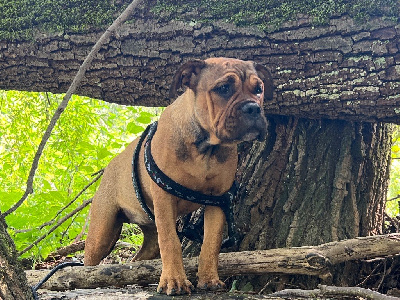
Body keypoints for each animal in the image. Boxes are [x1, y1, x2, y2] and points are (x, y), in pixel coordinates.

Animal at [83, 58, 272, 296]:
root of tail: (109, 166)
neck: (205, 149)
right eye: (223, 88)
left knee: (139, 259)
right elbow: (171, 242)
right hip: (102, 233)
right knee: (89, 261)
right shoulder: (164, 201)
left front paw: (209, 279)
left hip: (149, 234)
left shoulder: (218, 201)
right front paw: (174, 281)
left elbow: (211, 243)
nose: (253, 107)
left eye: (259, 89)